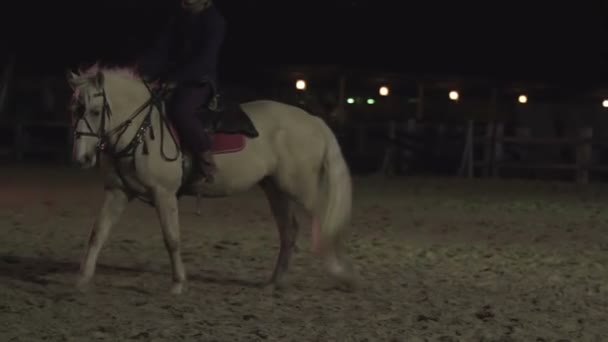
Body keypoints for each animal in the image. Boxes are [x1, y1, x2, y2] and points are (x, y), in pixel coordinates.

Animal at [66, 66, 354, 294]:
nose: (81, 158)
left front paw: (178, 284)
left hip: (300, 188)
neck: (143, 129)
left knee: (324, 222)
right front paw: (82, 280)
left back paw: (341, 274)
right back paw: (275, 282)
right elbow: (98, 233)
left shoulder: (163, 193)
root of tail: (314, 121)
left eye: (95, 111)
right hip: (276, 189)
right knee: (289, 230)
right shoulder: (118, 192)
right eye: (75, 109)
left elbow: (171, 239)